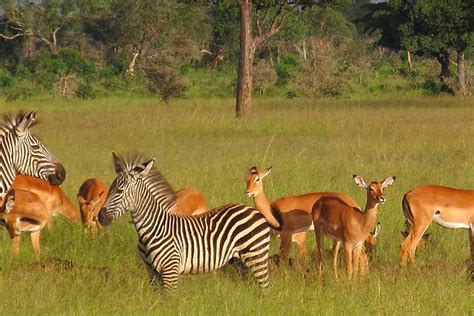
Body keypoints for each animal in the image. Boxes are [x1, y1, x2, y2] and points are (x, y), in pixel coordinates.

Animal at [98, 152, 272, 292]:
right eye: (110, 188)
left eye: (119, 190)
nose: (100, 217)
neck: (153, 228)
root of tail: (253, 210)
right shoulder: (152, 272)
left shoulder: (170, 271)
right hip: (240, 259)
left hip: (256, 256)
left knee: (266, 288)